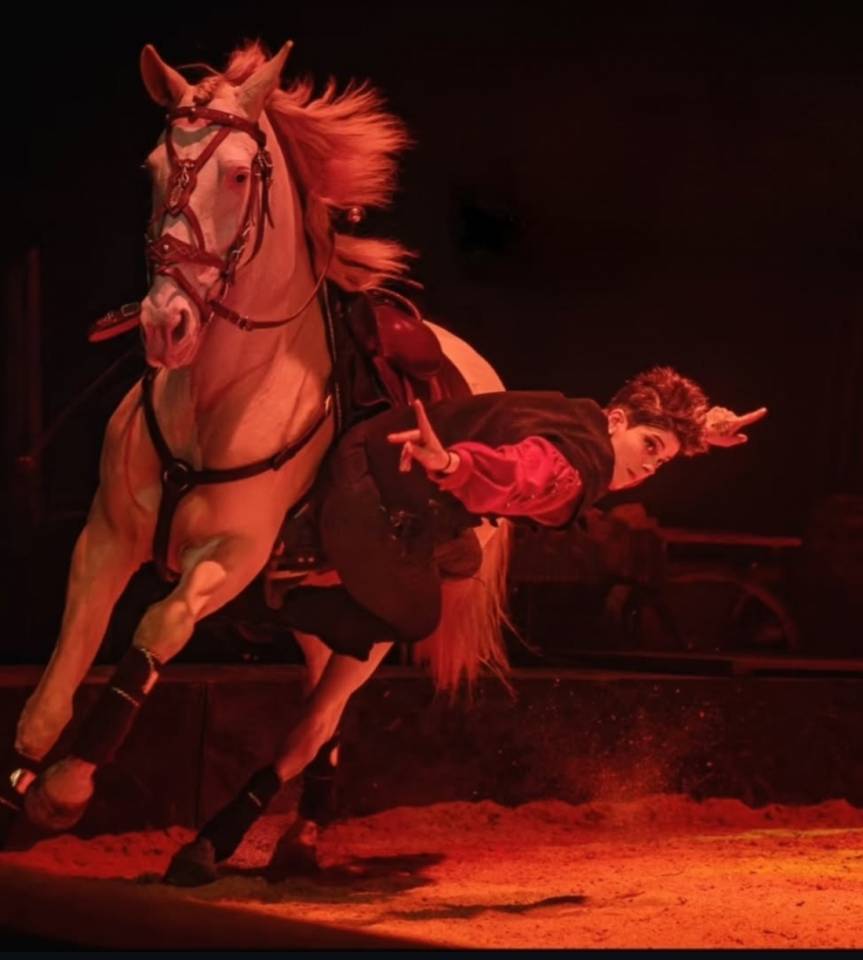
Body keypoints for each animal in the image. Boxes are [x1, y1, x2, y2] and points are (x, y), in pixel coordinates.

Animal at [1, 40, 513, 875]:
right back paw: (299, 833)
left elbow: (155, 635)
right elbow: (54, 686)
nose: (165, 322)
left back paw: (214, 842)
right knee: (317, 713)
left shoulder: (229, 556)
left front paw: (65, 789)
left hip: (377, 618)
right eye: (152, 167)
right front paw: (16, 794)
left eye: (240, 174)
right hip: (313, 609)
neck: (218, 397)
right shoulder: (104, 540)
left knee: (312, 721)